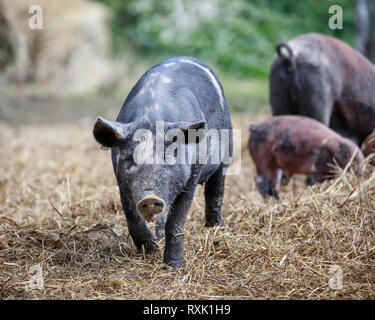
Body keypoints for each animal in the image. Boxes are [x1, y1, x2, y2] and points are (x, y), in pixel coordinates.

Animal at [93, 57, 232, 268]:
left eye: (168, 156)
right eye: (131, 157)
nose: (149, 197)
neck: (151, 117)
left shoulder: (191, 177)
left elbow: (176, 221)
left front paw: (173, 266)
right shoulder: (121, 180)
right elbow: (131, 217)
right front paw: (151, 249)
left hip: (226, 153)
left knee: (216, 191)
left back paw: (215, 227)